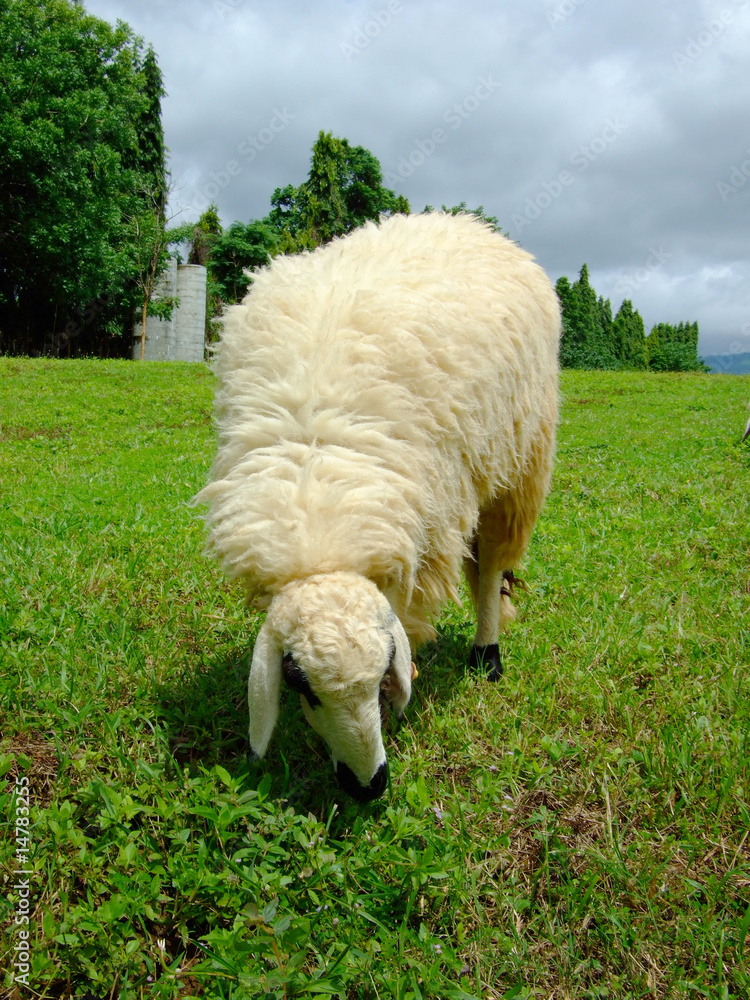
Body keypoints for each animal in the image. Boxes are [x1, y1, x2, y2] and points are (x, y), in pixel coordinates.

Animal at [195, 211, 560, 802]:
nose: (368, 786)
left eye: (383, 671)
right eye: (300, 685)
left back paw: (486, 654)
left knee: (490, 566)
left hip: (519, 459)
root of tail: (465, 222)